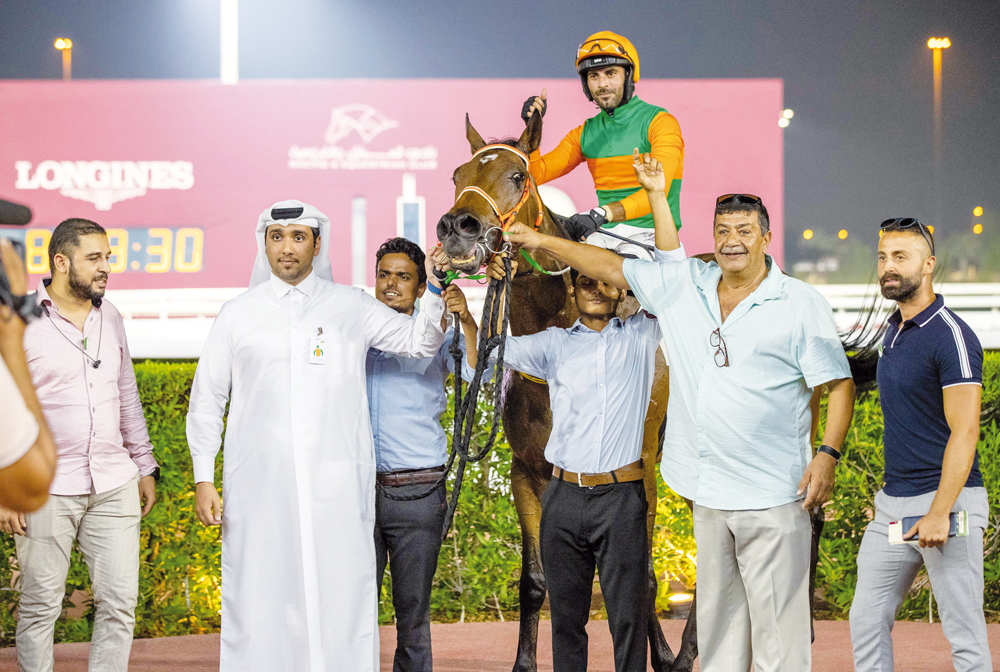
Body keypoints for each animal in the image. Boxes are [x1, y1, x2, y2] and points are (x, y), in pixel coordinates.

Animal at [438, 110, 696, 672]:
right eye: (457, 174)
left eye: (517, 176)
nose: (457, 229)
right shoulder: (527, 474)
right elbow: (537, 581)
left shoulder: (640, 467)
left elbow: (640, 575)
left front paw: (661, 655)